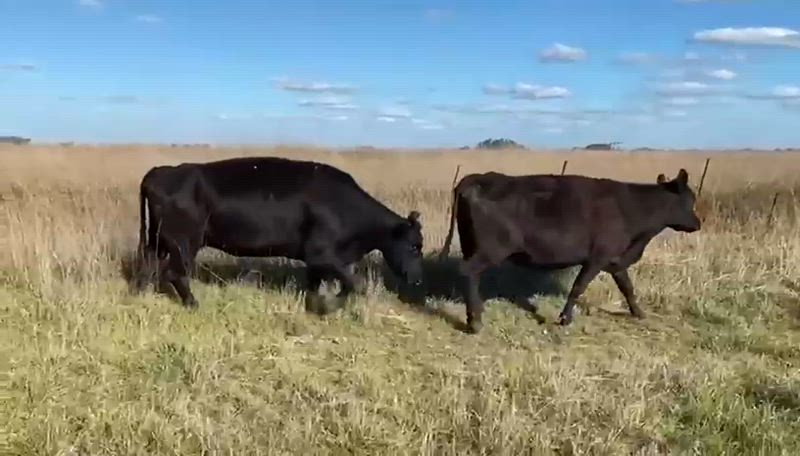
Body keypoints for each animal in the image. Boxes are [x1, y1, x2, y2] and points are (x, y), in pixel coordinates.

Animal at [131, 156, 425, 314]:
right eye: (413, 246)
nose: (417, 279)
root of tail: (161, 171)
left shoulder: (318, 261)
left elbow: (315, 284)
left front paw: (314, 306)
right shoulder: (321, 254)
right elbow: (354, 284)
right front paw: (330, 307)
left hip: (159, 239)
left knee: (148, 264)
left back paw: (140, 295)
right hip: (184, 242)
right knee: (175, 273)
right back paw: (193, 304)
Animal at [438, 168, 701, 333]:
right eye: (690, 200)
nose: (698, 223)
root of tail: (480, 177)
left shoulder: (615, 259)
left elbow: (627, 287)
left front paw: (639, 313)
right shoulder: (597, 257)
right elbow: (578, 287)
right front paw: (564, 319)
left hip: (471, 245)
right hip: (491, 249)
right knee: (468, 271)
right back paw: (475, 322)